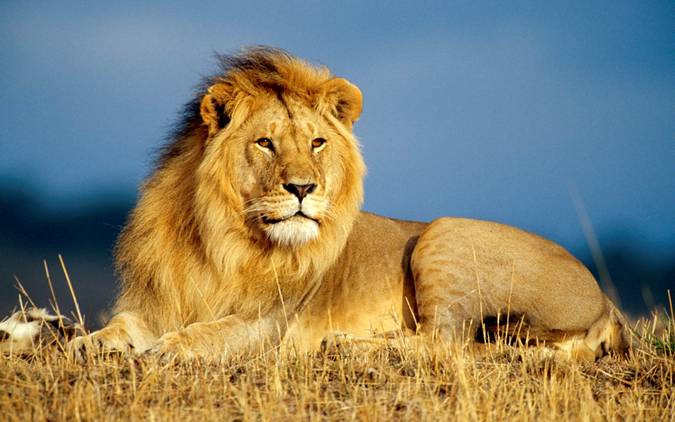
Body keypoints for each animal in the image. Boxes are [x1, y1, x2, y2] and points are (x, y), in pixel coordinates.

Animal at [66, 47, 628, 361]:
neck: (219, 238)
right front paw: (82, 344)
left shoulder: (271, 324)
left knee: (447, 343)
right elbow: (119, 327)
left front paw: (170, 348)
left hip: (443, 233)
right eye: (265, 143)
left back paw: (345, 346)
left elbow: (212, 332)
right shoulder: (155, 301)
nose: (302, 188)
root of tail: (606, 303)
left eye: (316, 143)